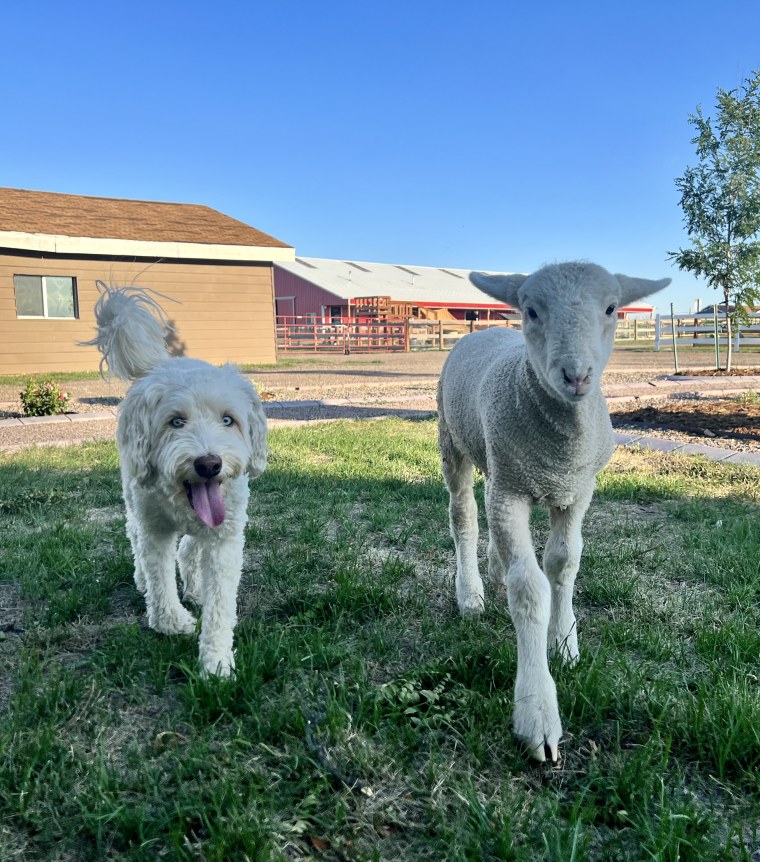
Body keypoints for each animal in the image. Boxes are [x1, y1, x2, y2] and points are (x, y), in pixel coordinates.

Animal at [85, 286, 268, 680]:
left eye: (228, 420)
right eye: (176, 422)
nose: (209, 463)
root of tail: (158, 365)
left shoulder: (225, 536)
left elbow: (220, 604)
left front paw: (216, 663)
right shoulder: (154, 528)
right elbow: (159, 578)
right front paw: (172, 622)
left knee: (188, 549)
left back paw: (195, 587)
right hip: (132, 495)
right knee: (135, 537)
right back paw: (144, 579)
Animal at [436, 264, 668, 764]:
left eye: (611, 308)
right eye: (531, 310)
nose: (576, 375)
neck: (559, 452)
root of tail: (485, 330)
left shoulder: (575, 491)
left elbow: (563, 564)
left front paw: (564, 643)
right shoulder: (511, 494)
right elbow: (529, 589)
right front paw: (537, 712)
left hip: (498, 462)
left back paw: (494, 568)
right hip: (453, 441)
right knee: (463, 516)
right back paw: (471, 592)